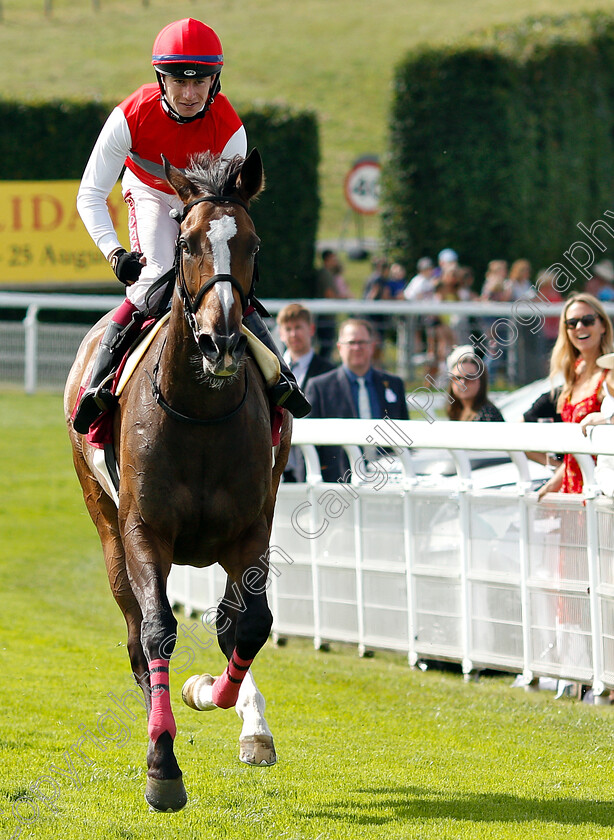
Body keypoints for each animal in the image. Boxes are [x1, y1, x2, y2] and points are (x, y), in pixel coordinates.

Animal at [64, 148, 294, 812]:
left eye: (251, 243)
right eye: (188, 243)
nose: (221, 340)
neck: (201, 412)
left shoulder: (250, 528)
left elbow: (247, 623)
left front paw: (219, 698)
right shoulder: (144, 531)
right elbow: (158, 630)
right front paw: (162, 764)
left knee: (231, 622)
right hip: (105, 525)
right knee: (136, 636)